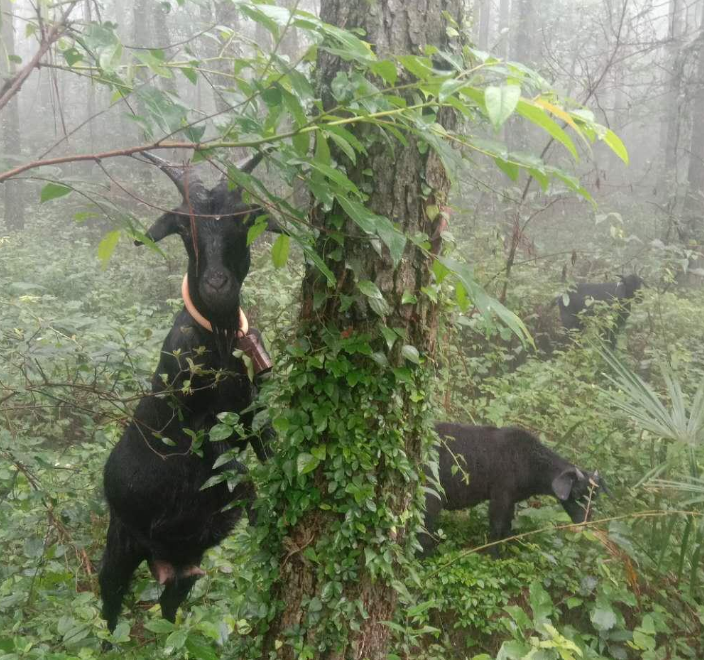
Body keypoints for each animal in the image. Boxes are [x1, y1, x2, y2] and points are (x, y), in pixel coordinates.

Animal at [99, 150, 280, 636]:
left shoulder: (255, 414)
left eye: (244, 219)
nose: (217, 286)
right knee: (108, 603)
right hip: (120, 546)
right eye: (184, 227)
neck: (217, 343)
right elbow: (240, 474)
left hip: (183, 573)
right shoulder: (197, 438)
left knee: (168, 606)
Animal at [420, 422, 608, 556]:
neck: (530, 462)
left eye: (595, 496)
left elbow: (507, 526)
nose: (585, 521)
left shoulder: (511, 500)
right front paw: (493, 555)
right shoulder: (500, 495)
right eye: (575, 493)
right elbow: (496, 527)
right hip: (431, 495)